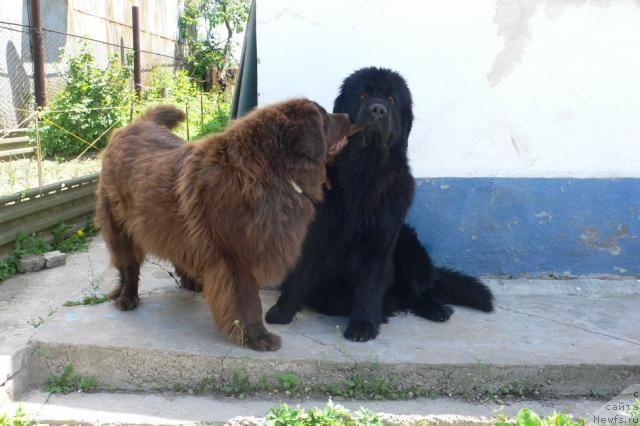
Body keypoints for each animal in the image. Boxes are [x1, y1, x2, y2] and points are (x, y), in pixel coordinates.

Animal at [95, 99, 356, 350]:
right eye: (324, 116)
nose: (348, 115)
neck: (268, 171)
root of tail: (134, 125)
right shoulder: (236, 259)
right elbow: (249, 302)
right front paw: (257, 338)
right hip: (120, 227)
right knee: (128, 266)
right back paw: (127, 298)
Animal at [264, 66, 496, 342]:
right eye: (363, 94)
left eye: (392, 99)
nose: (377, 109)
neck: (364, 172)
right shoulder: (313, 233)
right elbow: (296, 276)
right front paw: (283, 311)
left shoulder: (380, 239)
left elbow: (370, 284)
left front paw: (363, 324)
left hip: (408, 243)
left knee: (419, 291)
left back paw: (434, 308)